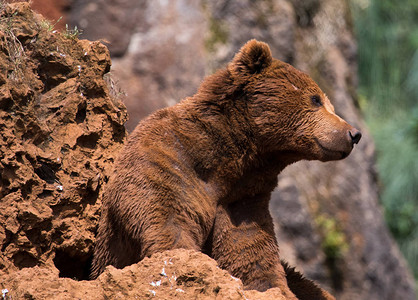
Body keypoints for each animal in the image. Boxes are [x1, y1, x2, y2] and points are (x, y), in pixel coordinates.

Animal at [90, 40, 360, 300]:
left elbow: (249, 248)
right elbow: (165, 215)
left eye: (328, 103)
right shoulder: (171, 159)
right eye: (316, 99)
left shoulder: (242, 198)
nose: (353, 134)